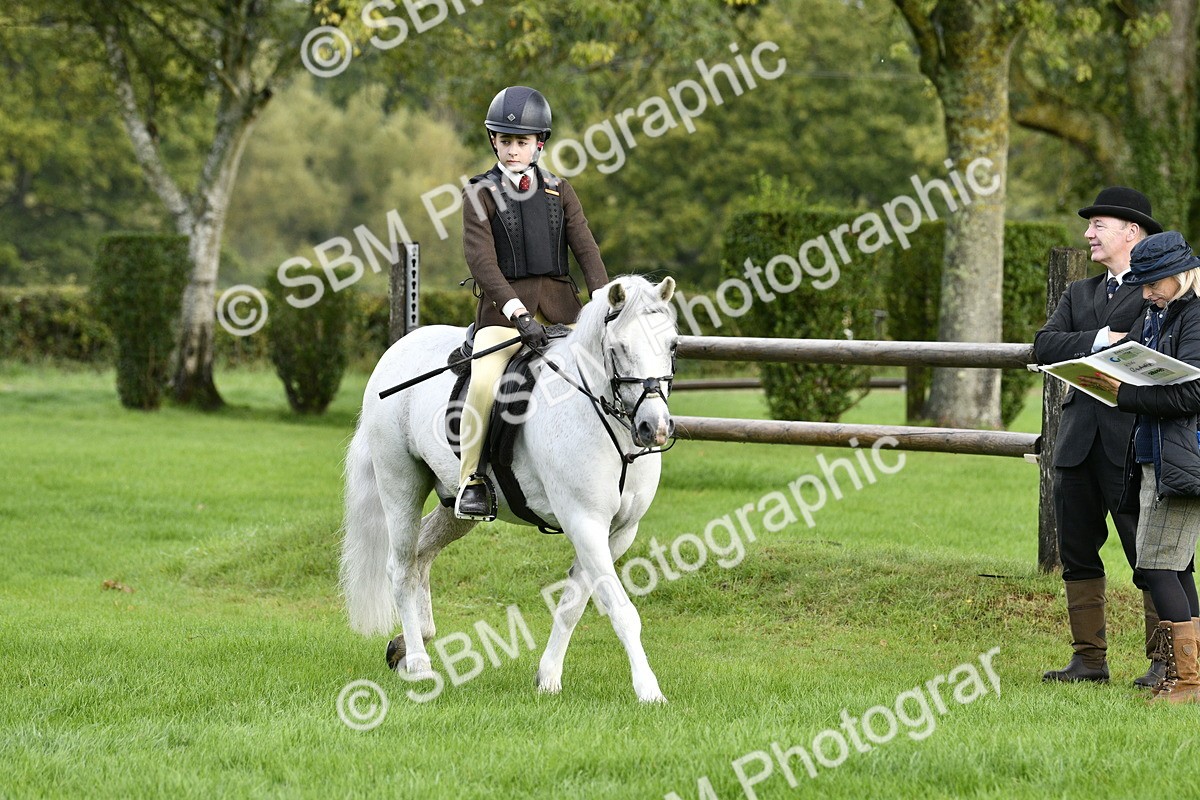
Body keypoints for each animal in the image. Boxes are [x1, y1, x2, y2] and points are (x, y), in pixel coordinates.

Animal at [340, 275, 679, 702]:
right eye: (618, 348)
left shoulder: (619, 532)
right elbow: (620, 610)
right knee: (401, 569)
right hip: (400, 483)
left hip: (456, 505)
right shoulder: (585, 523)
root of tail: (395, 352)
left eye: (673, 345)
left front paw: (548, 679)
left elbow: (572, 605)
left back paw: (406, 646)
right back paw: (418, 665)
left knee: (421, 556)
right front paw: (649, 691)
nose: (655, 428)